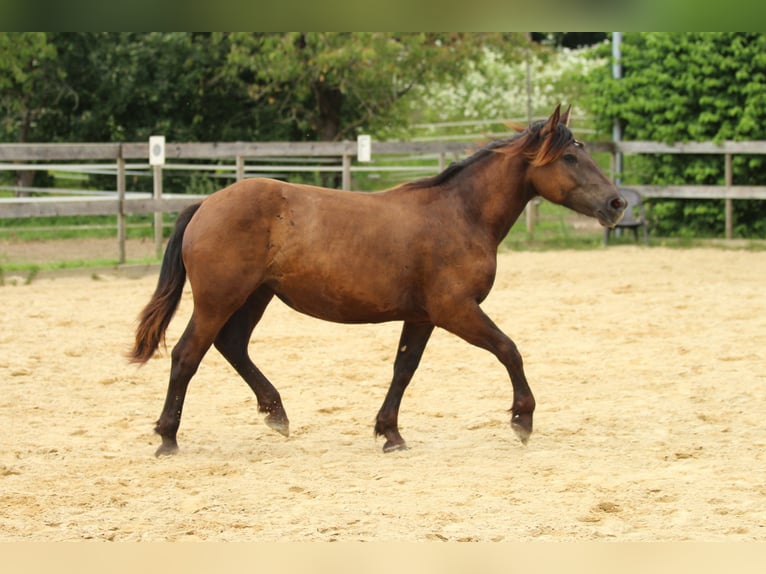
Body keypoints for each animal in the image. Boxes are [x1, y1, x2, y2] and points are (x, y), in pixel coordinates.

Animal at [129, 102, 628, 454]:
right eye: (570, 157)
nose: (617, 204)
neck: (460, 214)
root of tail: (206, 205)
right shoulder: (456, 310)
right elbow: (509, 350)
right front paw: (522, 420)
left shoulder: (423, 316)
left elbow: (403, 369)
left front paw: (390, 433)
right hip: (219, 299)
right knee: (187, 355)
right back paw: (168, 438)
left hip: (255, 296)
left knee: (231, 346)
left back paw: (276, 414)